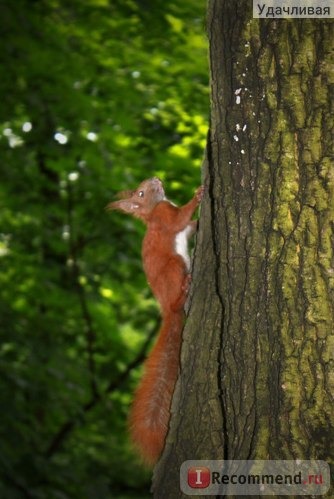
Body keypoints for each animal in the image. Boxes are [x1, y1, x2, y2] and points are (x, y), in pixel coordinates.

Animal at [107, 178, 202, 466]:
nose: (156, 180)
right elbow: (180, 218)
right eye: (141, 192)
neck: (152, 212)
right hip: (174, 266)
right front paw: (198, 196)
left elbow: (190, 227)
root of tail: (168, 312)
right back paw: (184, 290)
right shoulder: (165, 217)